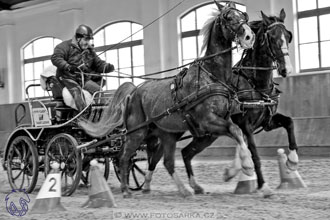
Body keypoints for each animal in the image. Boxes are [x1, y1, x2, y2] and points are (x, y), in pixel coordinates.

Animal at [79, 1, 255, 198]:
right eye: (228, 18)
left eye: (243, 16)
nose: (249, 36)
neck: (211, 76)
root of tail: (134, 92)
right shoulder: (208, 121)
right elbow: (236, 131)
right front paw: (245, 167)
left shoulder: (217, 124)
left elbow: (239, 134)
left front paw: (234, 170)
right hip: (137, 133)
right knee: (124, 157)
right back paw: (126, 190)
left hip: (165, 133)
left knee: (164, 160)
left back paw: (176, 188)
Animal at [182, 9, 296, 197]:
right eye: (271, 37)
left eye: (288, 36)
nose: (286, 69)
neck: (254, 83)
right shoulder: (246, 124)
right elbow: (254, 154)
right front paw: (263, 185)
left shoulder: (267, 121)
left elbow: (289, 122)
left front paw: (292, 161)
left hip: (207, 135)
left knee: (186, 153)